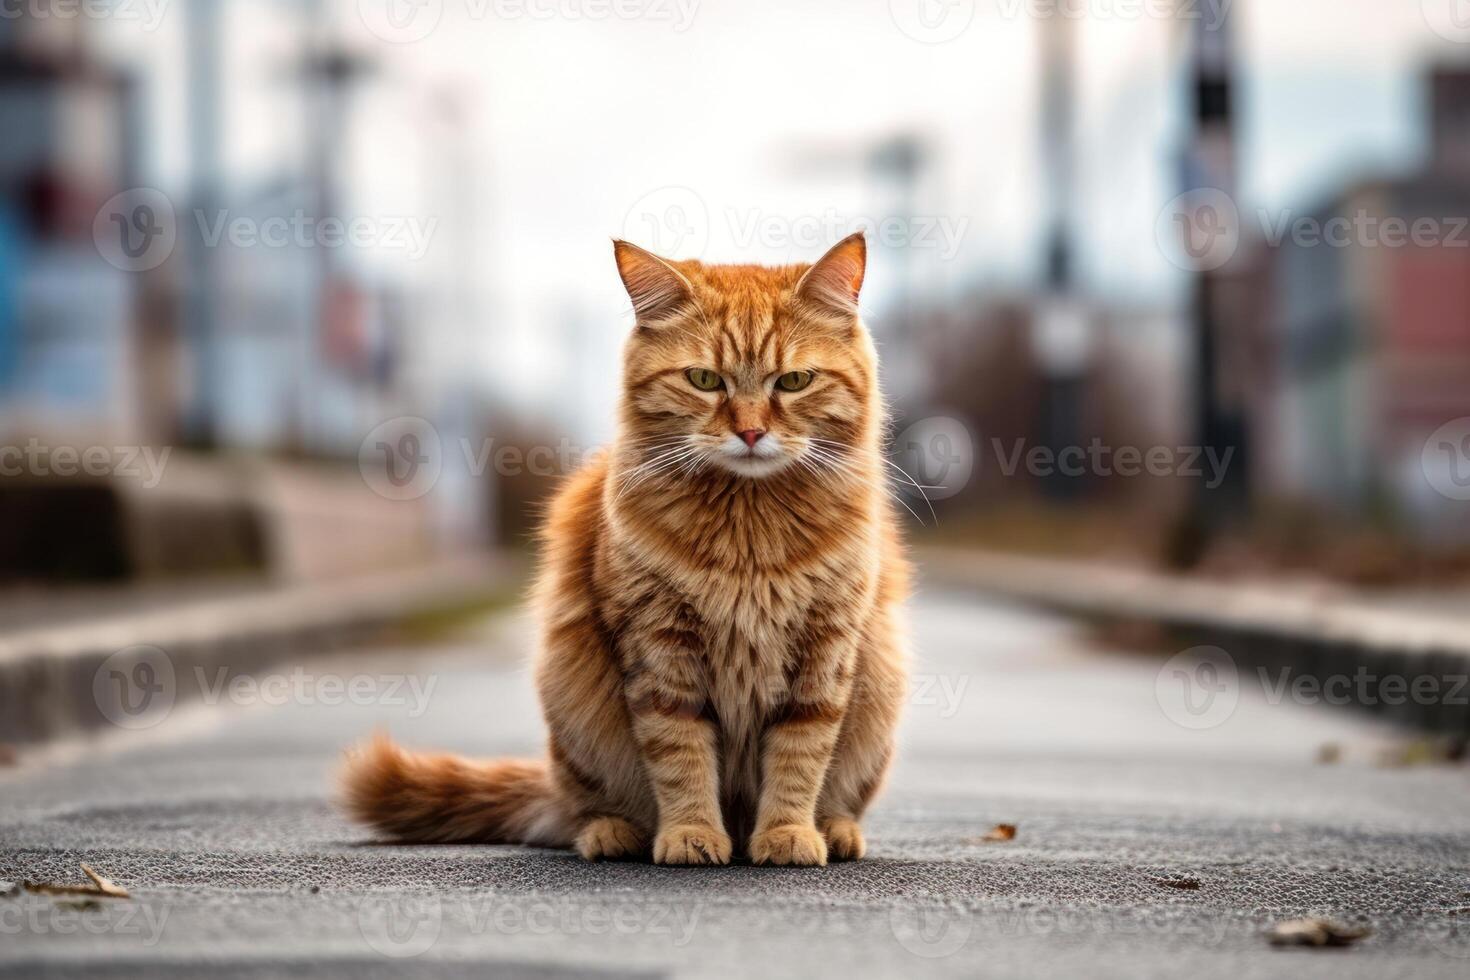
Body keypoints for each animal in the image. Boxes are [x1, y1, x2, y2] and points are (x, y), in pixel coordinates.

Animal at [342, 235, 905, 863]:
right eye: (704, 380)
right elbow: (681, 756)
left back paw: (834, 829)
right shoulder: (659, 652)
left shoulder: (824, 651)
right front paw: (690, 833)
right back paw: (615, 832)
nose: (751, 433)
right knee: (585, 808)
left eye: (794, 381)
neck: (748, 534)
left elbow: (799, 755)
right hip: (573, 707)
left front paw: (787, 833)